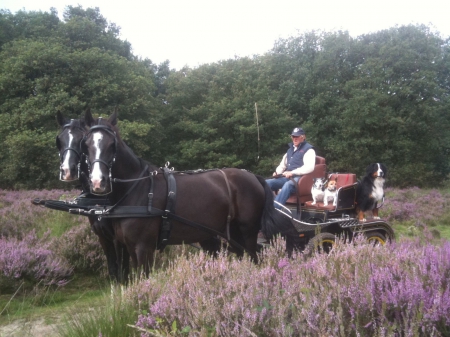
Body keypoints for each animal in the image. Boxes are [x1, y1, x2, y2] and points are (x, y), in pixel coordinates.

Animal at [56, 109, 129, 280]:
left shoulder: (117, 238)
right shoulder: (102, 236)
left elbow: (122, 270)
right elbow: (113, 269)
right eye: (60, 140)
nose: (67, 171)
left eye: (80, 141)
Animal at [81, 110, 296, 272]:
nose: (98, 182)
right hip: (231, 233)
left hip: (247, 231)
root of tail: (253, 176)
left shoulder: (143, 247)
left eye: (112, 144)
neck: (138, 189)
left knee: (253, 258)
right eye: (87, 144)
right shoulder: (128, 246)